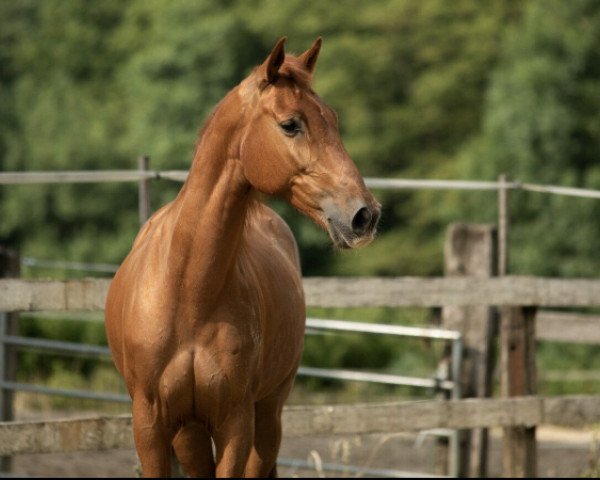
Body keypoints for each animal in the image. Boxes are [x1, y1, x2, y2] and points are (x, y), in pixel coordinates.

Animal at [104, 37, 380, 476]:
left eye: (333, 119)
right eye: (291, 124)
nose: (364, 215)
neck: (188, 289)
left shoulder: (235, 422)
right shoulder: (151, 425)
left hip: (266, 417)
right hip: (189, 433)